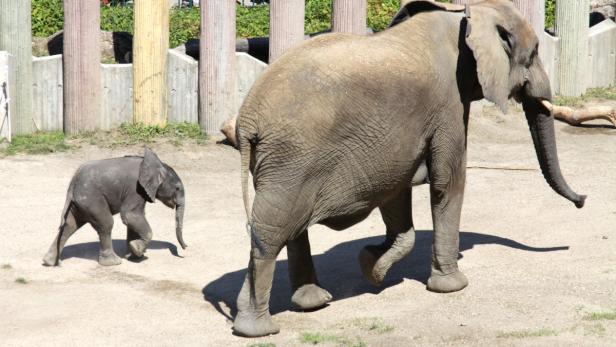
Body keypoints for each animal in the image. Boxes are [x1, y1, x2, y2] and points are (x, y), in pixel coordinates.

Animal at [42, 149, 186, 266]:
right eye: (177, 188)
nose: (185, 248)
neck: (156, 164)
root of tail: (73, 183)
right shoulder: (135, 189)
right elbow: (130, 215)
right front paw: (136, 250)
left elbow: (134, 218)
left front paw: (135, 256)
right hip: (91, 199)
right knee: (106, 223)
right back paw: (113, 262)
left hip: (80, 203)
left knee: (69, 225)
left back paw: (49, 262)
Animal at [230, 0, 584, 338]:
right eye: (534, 53)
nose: (582, 201)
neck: (465, 14)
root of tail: (247, 118)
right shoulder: (449, 102)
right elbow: (449, 181)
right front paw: (452, 287)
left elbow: (396, 190)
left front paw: (372, 266)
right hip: (291, 158)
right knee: (272, 232)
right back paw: (258, 329)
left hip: (284, 163)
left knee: (289, 227)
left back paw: (313, 303)